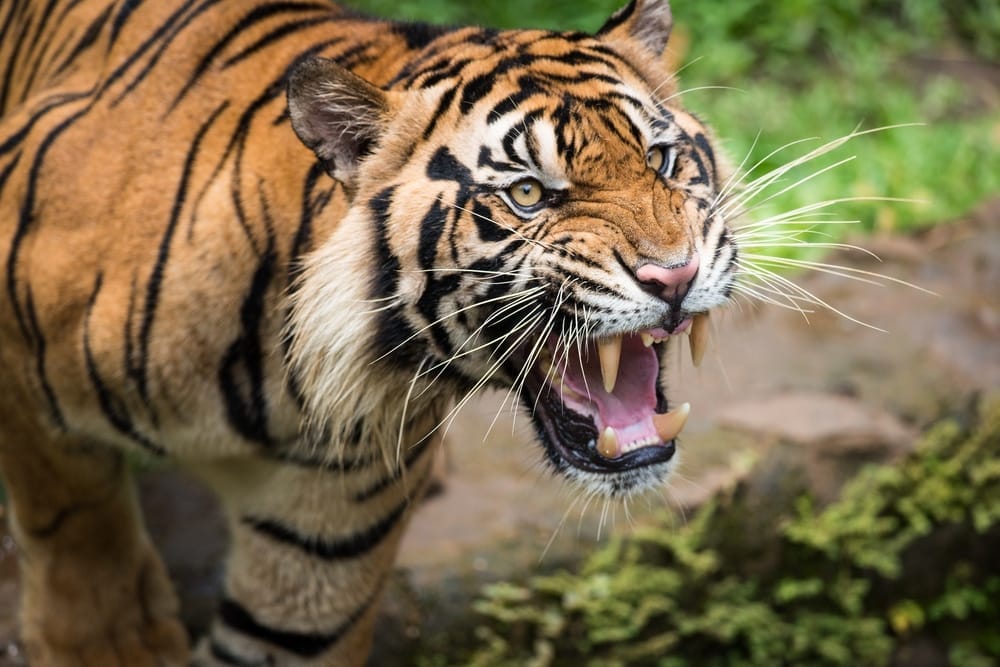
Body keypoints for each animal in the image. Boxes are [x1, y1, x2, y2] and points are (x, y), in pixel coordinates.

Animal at [0, 0, 737, 664]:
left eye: (661, 160)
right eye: (527, 194)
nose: (674, 275)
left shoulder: (319, 544)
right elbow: (77, 532)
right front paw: (111, 635)